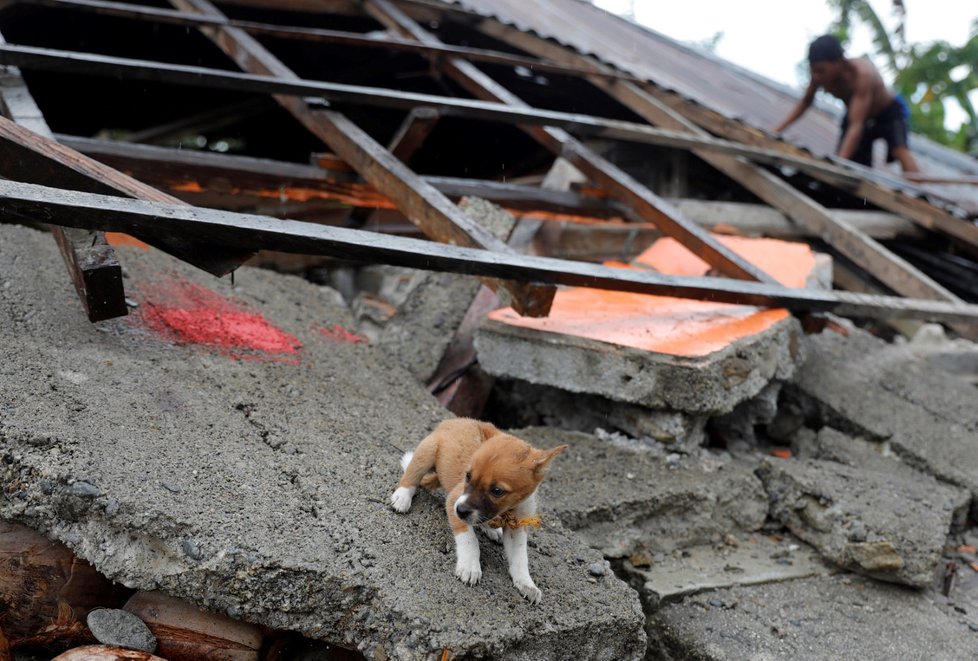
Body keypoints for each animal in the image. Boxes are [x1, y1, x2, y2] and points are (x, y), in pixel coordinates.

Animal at [388, 418, 564, 604]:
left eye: (497, 491)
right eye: (468, 476)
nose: (460, 511)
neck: (505, 510)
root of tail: (455, 420)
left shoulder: (516, 527)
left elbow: (520, 557)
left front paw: (526, 583)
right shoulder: (454, 500)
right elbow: (469, 540)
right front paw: (470, 566)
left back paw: (492, 530)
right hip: (426, 452)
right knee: (412, 474)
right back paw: (402, 496)